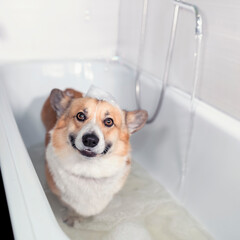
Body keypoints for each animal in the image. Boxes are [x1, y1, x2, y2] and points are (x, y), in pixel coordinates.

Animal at [41, 86, 147, 225]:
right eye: (80, 115)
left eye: (109, 121)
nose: (90, 140)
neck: (89, 170)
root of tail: (68, 89)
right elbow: (71, 206)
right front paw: (73, 216)